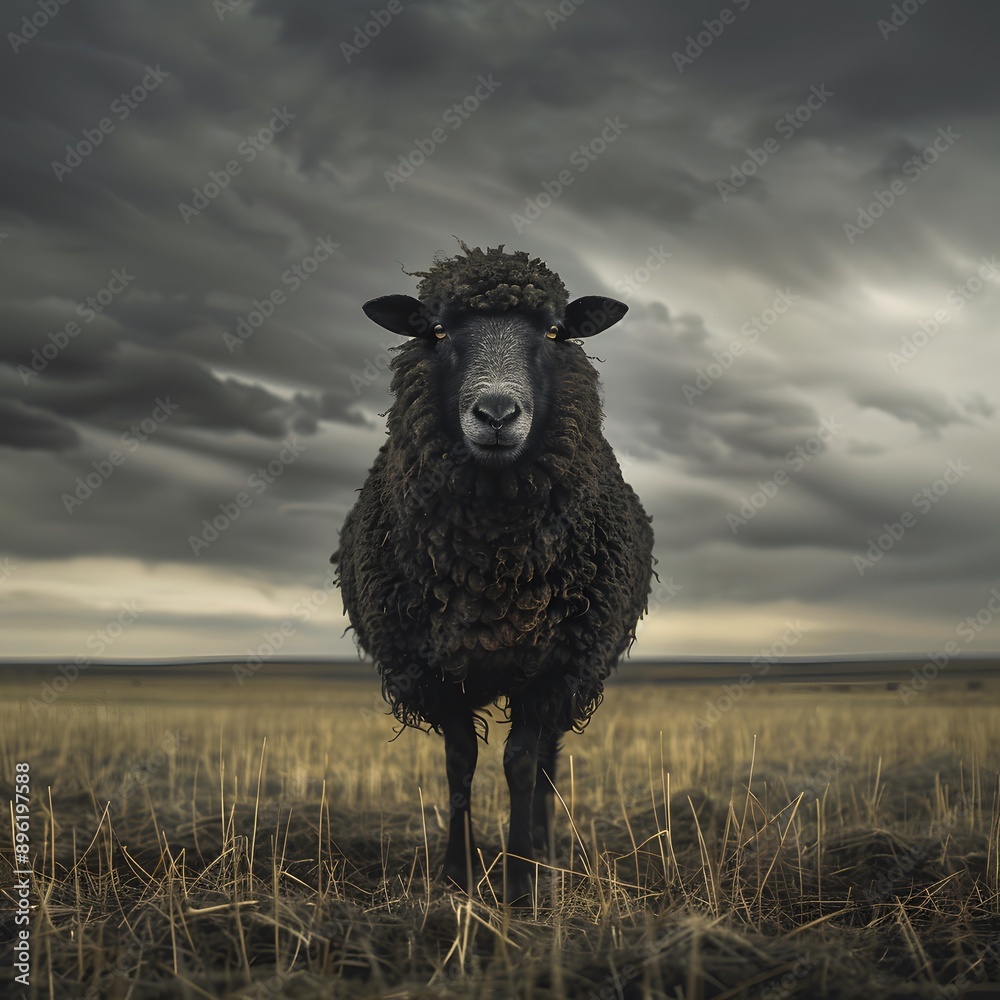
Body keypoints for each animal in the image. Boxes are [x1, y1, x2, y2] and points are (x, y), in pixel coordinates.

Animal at [332, 241, 654, 903]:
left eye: (555, 331)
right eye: (435, 330)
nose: (498, 413)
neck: (494, 569)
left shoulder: (553, 667)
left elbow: (522, 765)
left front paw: (524, 880)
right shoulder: (435, 669)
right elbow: (460, 764)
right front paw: (457, 874)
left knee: (548, 761)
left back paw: (548, 851)